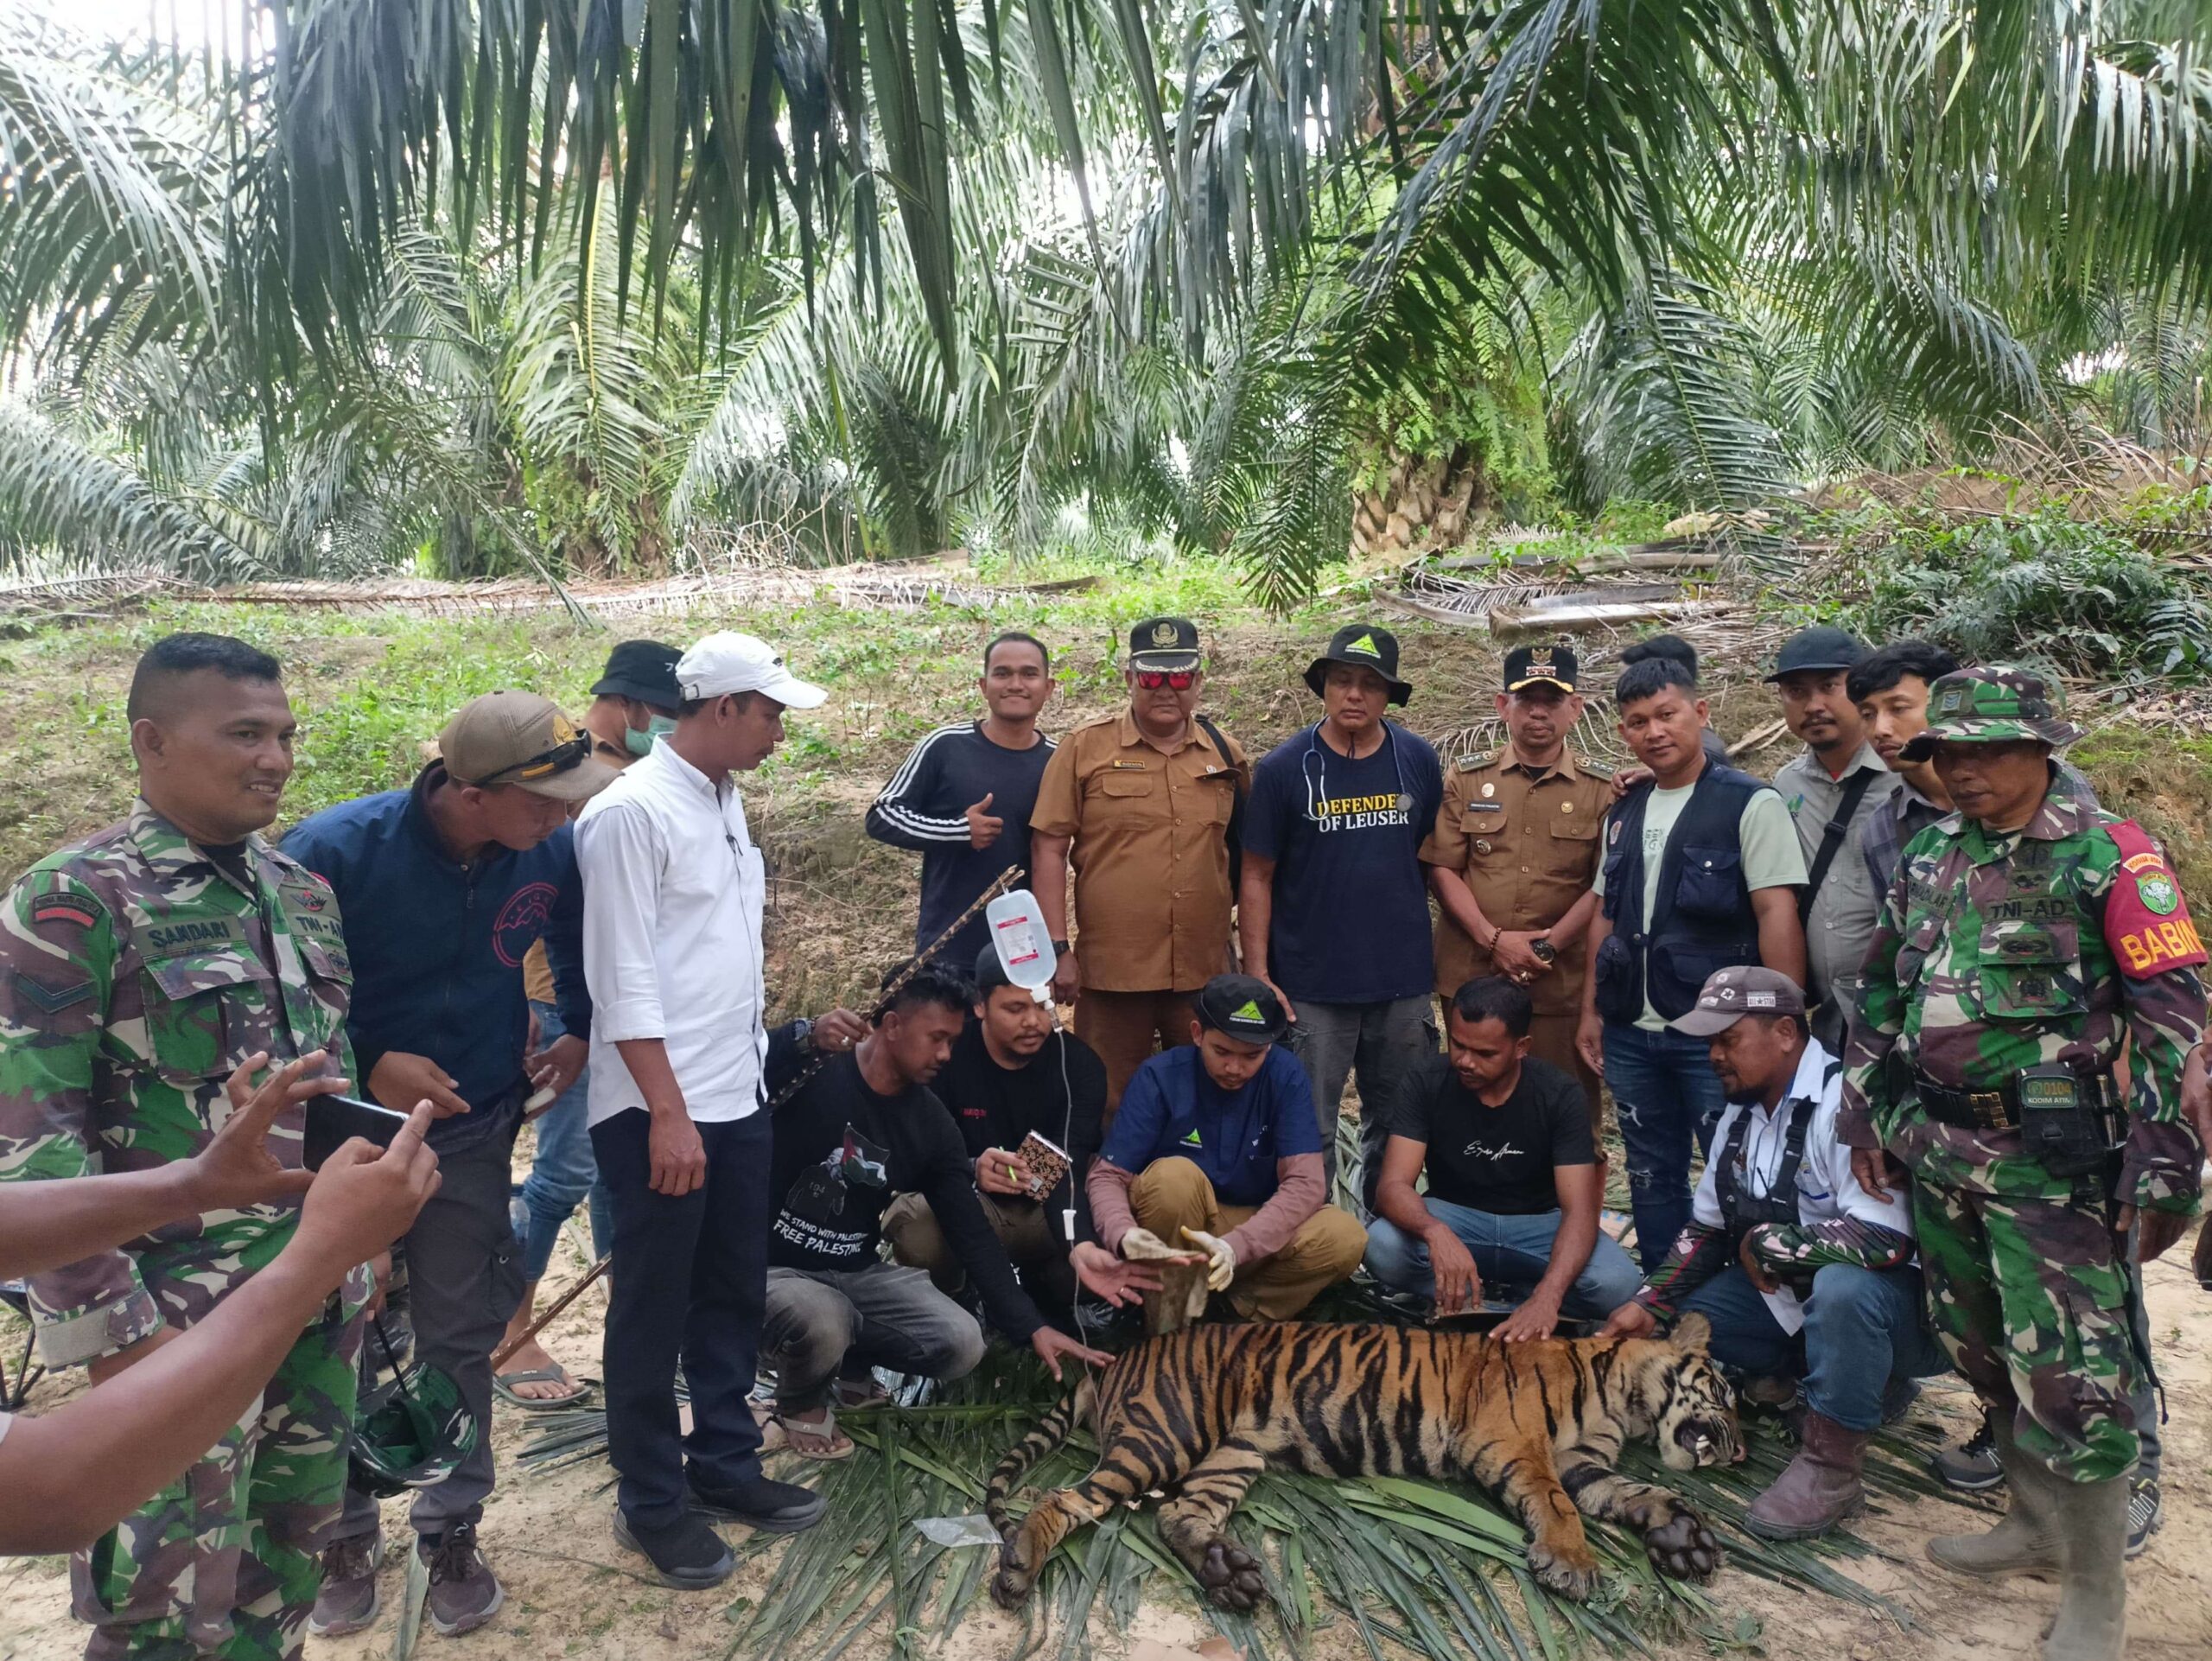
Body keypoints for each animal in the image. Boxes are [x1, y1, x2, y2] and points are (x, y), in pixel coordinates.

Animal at [990, 1309, 1743, 1610]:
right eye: (1726, 1391)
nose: (1737, 1453)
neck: (1625, 1399)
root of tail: (1114, 1359)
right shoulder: (1510, 1443)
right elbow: (1560, 1508)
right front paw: (1573, 1565)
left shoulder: (1585, 1462)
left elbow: (1641, 1494)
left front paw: (1687, 1540)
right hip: (1164, 1434)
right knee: (1062, 1500)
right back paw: (1020, 1566)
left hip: (1232, 1455)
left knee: (1176, 1516)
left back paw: (1230, 1577)